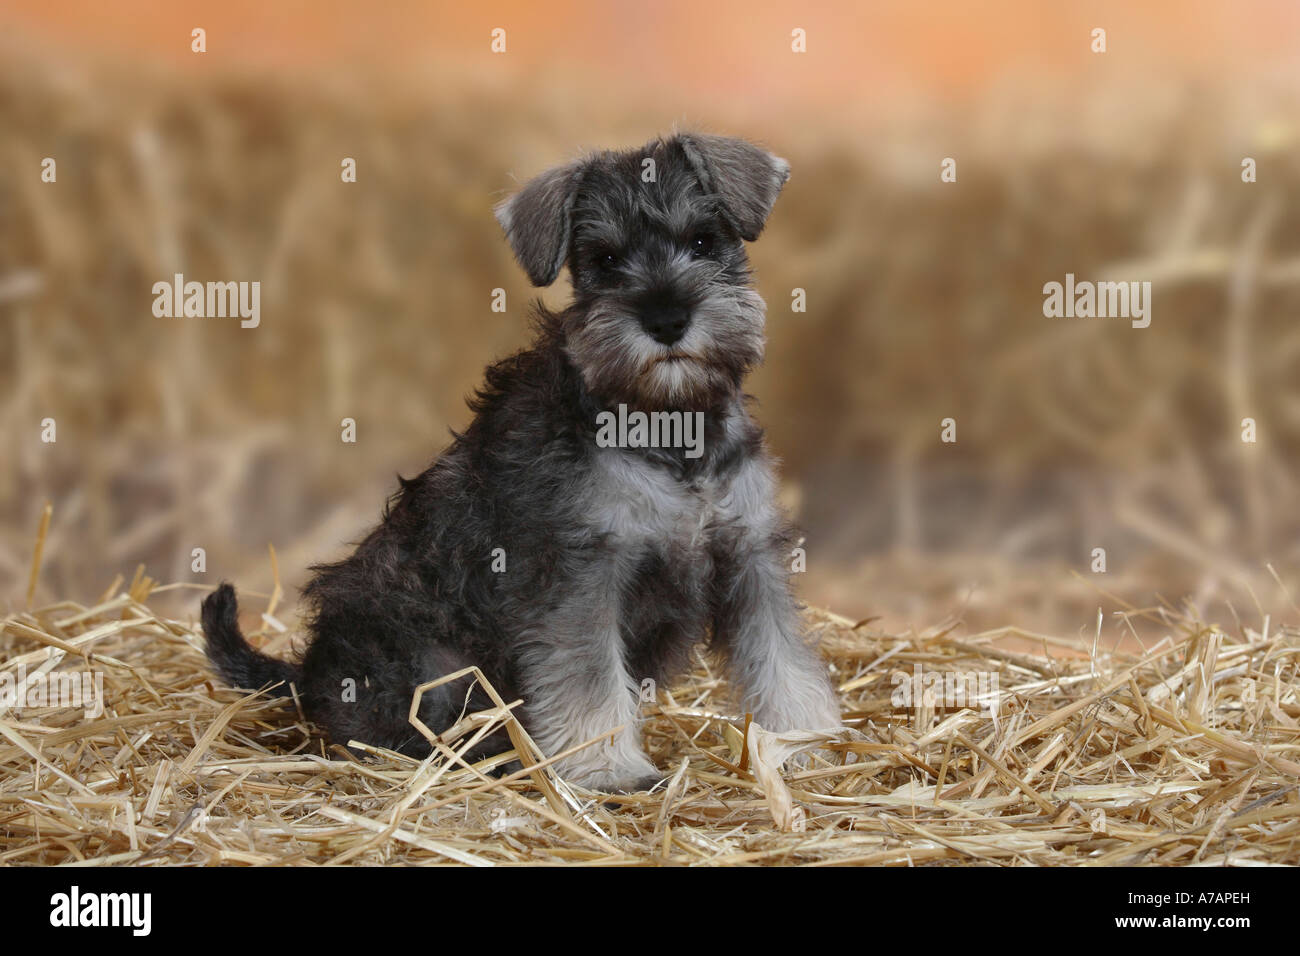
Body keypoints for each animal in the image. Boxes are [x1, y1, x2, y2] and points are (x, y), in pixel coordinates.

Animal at [197, 134, 837, 790]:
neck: (670, 424)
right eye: (605, 259)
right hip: (430, 665)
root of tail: (310, 676)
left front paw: (803, 742)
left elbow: (782, 659)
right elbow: (588, 679)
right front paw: (607, 769)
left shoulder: (748, 555)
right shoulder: (580, 573)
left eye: (705, 240)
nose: (666, 320)